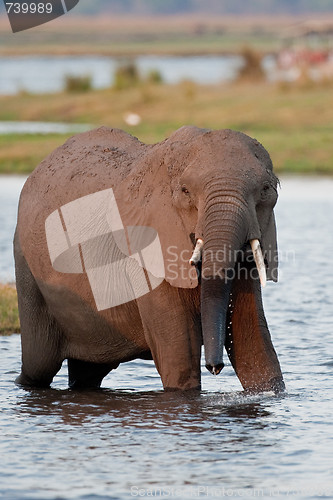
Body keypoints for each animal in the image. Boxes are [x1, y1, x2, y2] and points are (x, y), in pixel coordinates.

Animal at [14, 126, 284, 394]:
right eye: (185, 191)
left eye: (266, 190)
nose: (215, 368)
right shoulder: (147, 250)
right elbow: (180, 360)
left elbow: (254, 346)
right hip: (26, 263)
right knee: (38, 366)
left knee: (87, 373)